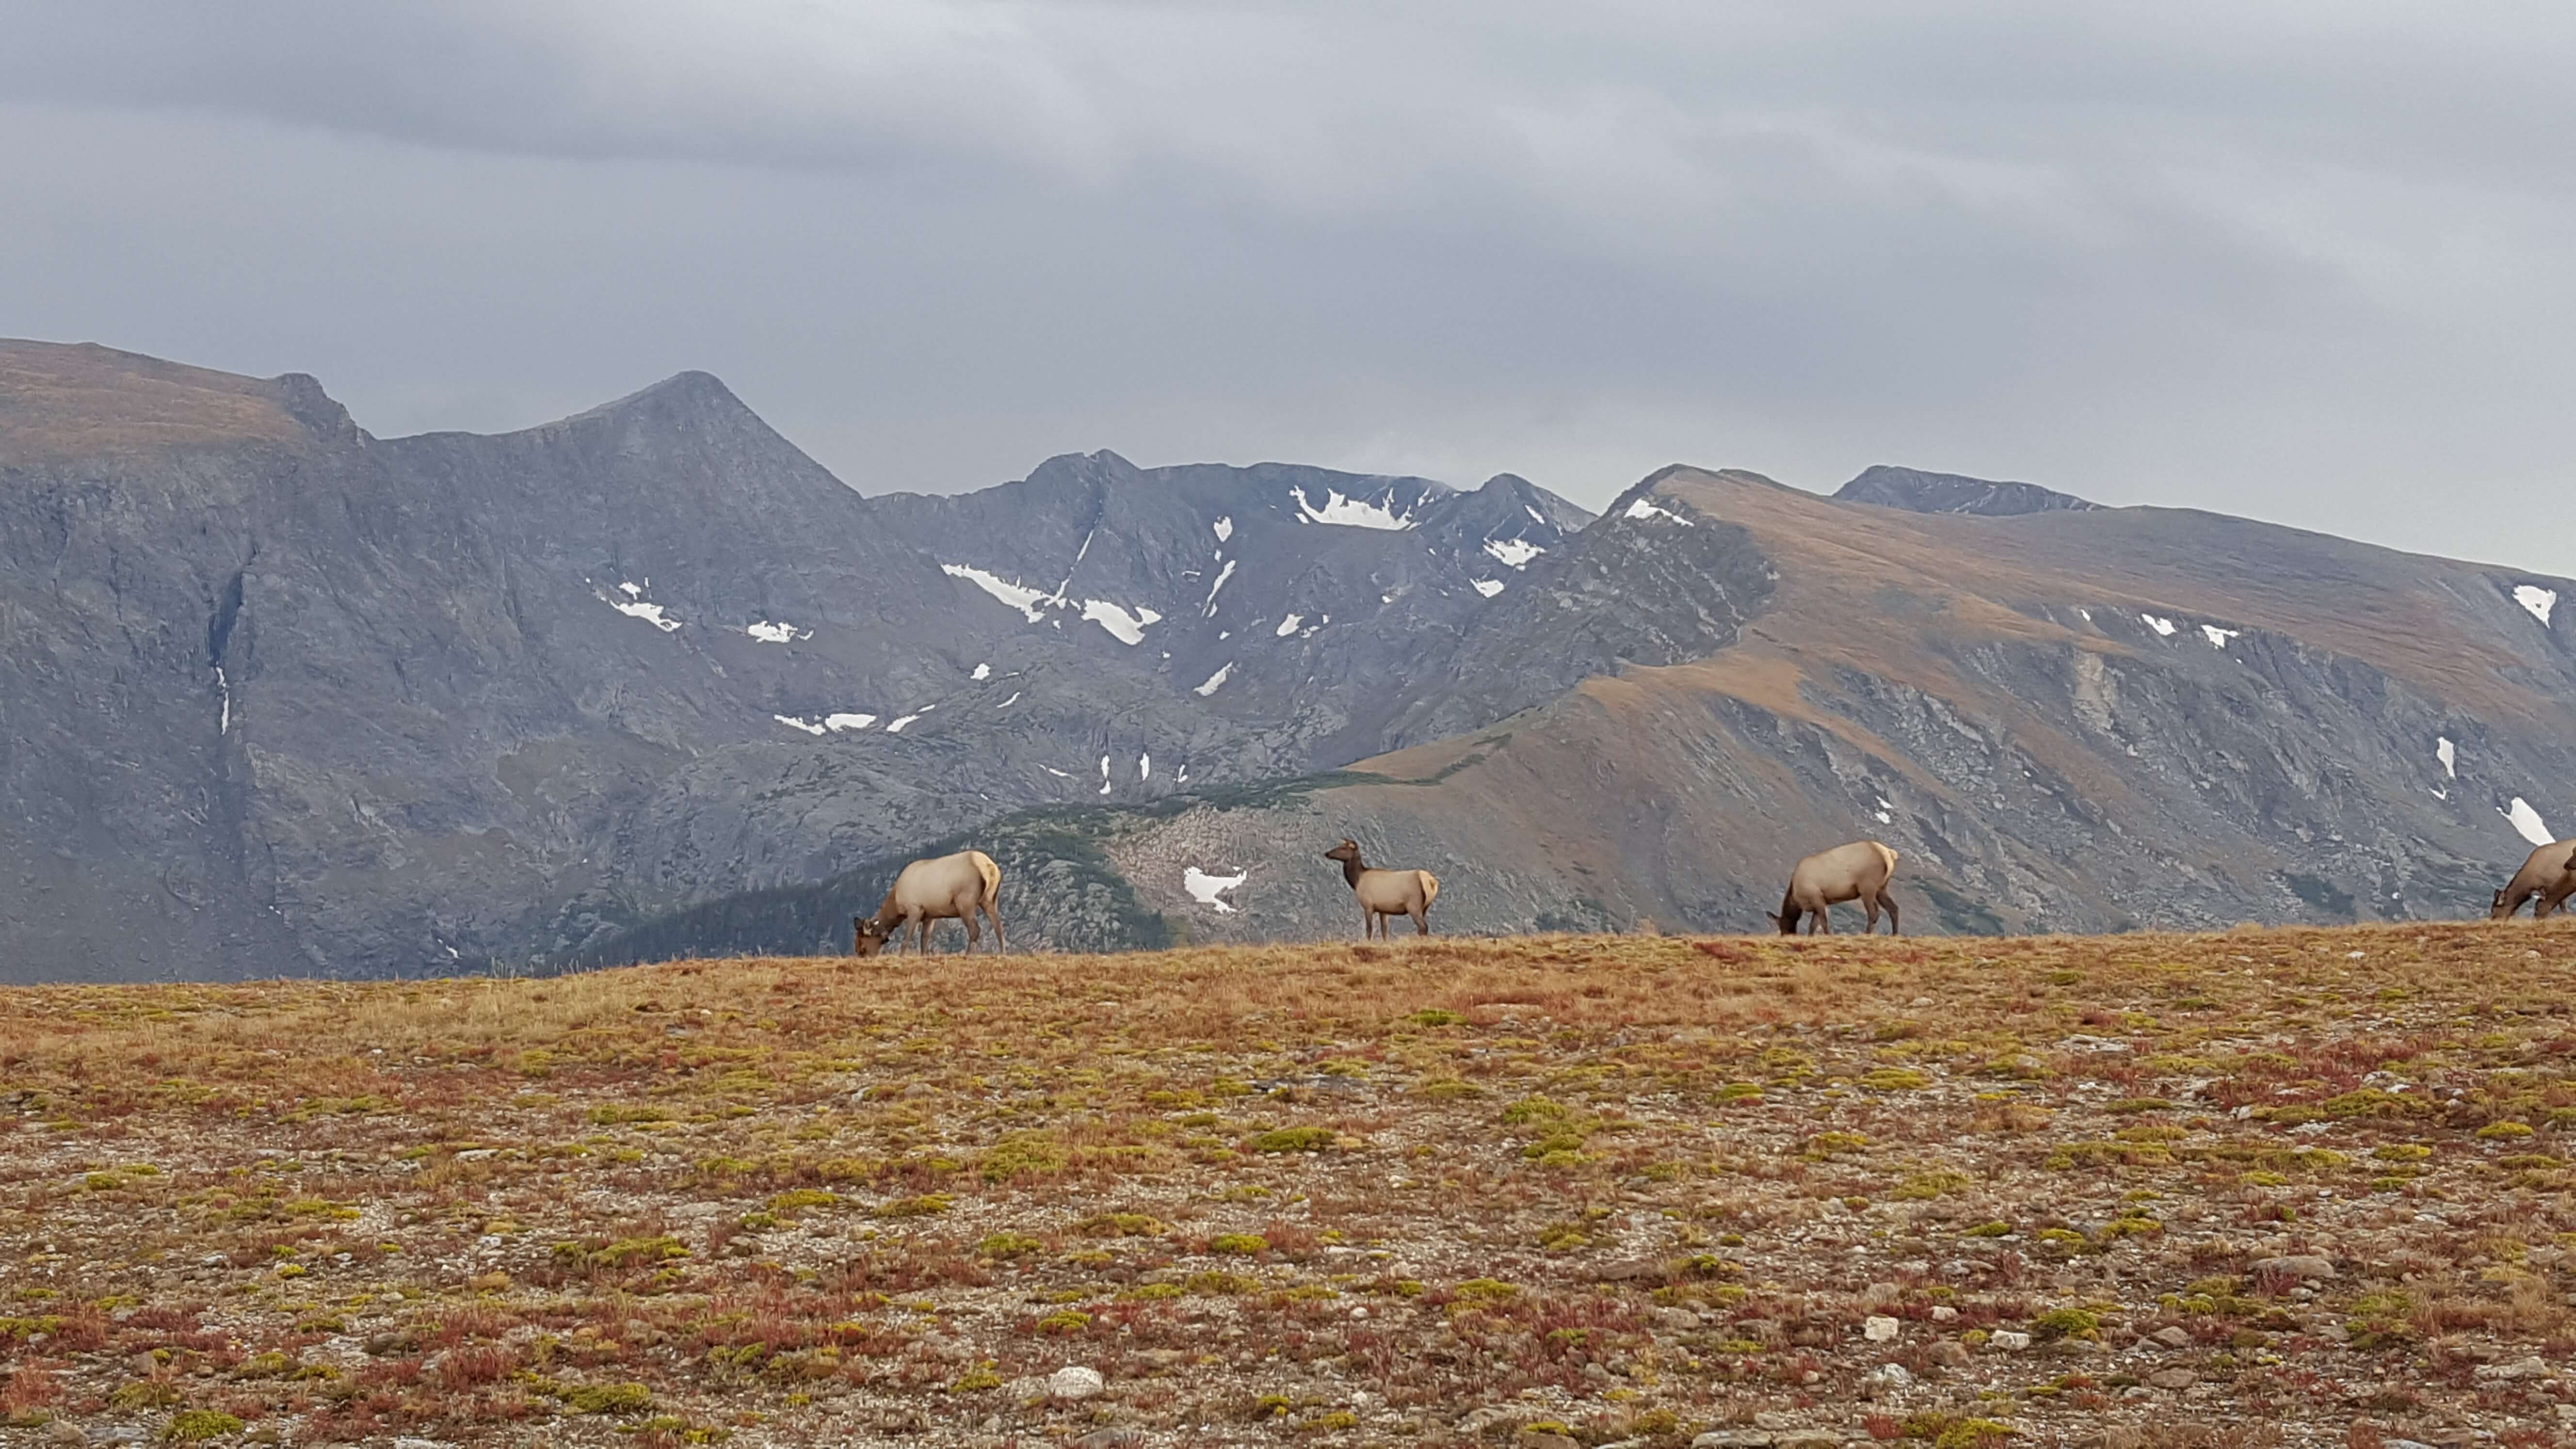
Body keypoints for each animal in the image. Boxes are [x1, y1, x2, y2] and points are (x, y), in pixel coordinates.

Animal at [853, 849, 1006, 955]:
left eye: (863, 946)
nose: (865, 957)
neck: (896, 903)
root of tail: (989, 868)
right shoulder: (931, 916)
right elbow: (924, 941)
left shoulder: (915, 909)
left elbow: (907, 939)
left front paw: (901, 957)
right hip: (990, 899)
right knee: (998, 925)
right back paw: (1003, 952)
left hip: (965, 902)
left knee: (975, 929)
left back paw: (968, 955)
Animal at [1322, 838, 1439, 938]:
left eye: (1343, 848)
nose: (1327, 854)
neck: (1357, 880)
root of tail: (1431, 881)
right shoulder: (1383, 910)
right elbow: (1384, 931)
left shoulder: (1368, 906)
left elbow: (1369, 930)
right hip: (1425, 907)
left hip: (1413, 905)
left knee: (1423, 927)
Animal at [1777, 840, 1902, 935]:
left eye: (1783, 928)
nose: (1785, 935)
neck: (1795, 895)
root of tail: (1890, 854)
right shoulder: (1818, 905)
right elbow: (1813, 926)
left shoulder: (1817, 898)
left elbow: (1824, 922)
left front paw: (1829, 936)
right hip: (1882, 888)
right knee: (1894, 908)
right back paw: (1895, 935)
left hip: (1867, 887)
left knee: (1874, 912)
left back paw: (1866, 934)